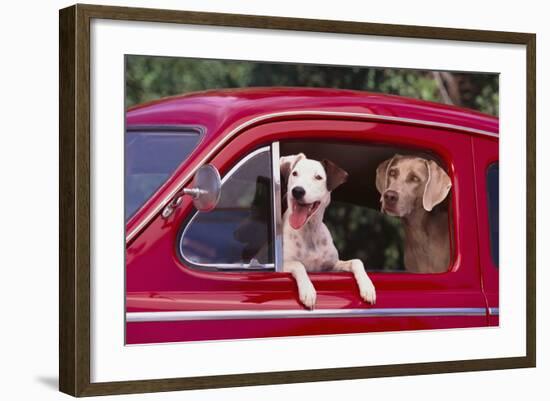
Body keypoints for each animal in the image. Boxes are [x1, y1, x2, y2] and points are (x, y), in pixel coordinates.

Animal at [282, 152, 378, 308]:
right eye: (294, 173)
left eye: (318, 177)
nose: (297, 191)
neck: (310, 230)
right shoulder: (283, 265)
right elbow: (298, 264)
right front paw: (307, 291)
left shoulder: (331, 266)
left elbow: (356, 261)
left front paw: (367, 287)